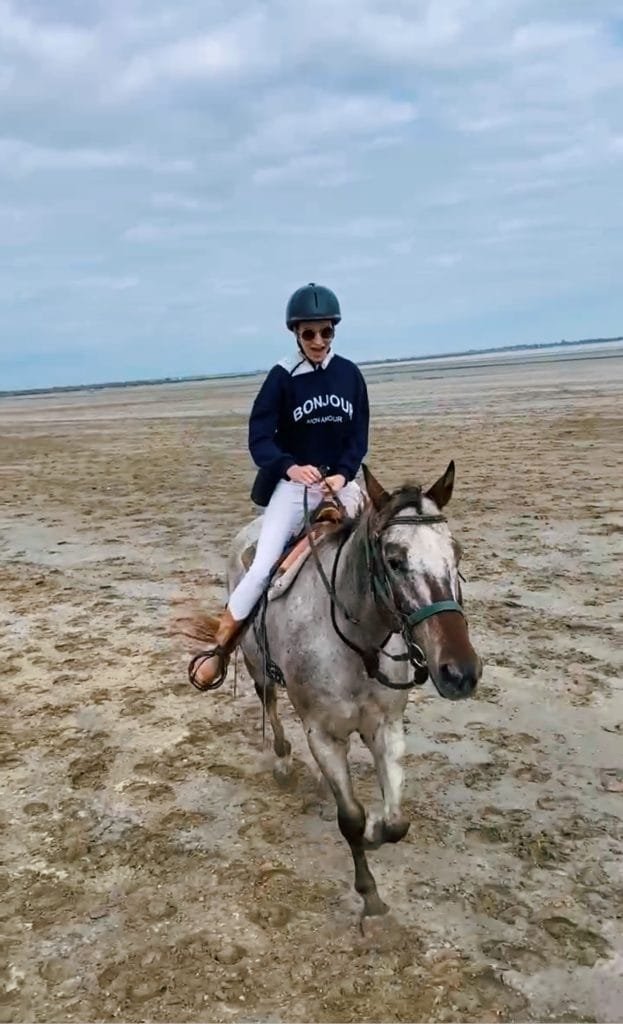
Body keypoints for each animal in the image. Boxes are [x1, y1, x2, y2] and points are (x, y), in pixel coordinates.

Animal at [180, 464, 481, 921]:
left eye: (457, 554)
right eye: (395, 560)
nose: (460, 672)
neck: (357, 645)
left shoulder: (387, 728)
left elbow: (396, 822)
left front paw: (378, 829)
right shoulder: (323, 735)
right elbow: (351, 818)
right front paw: (369, 893)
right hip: (257, 667)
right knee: (269, 705)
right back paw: (283, 762)